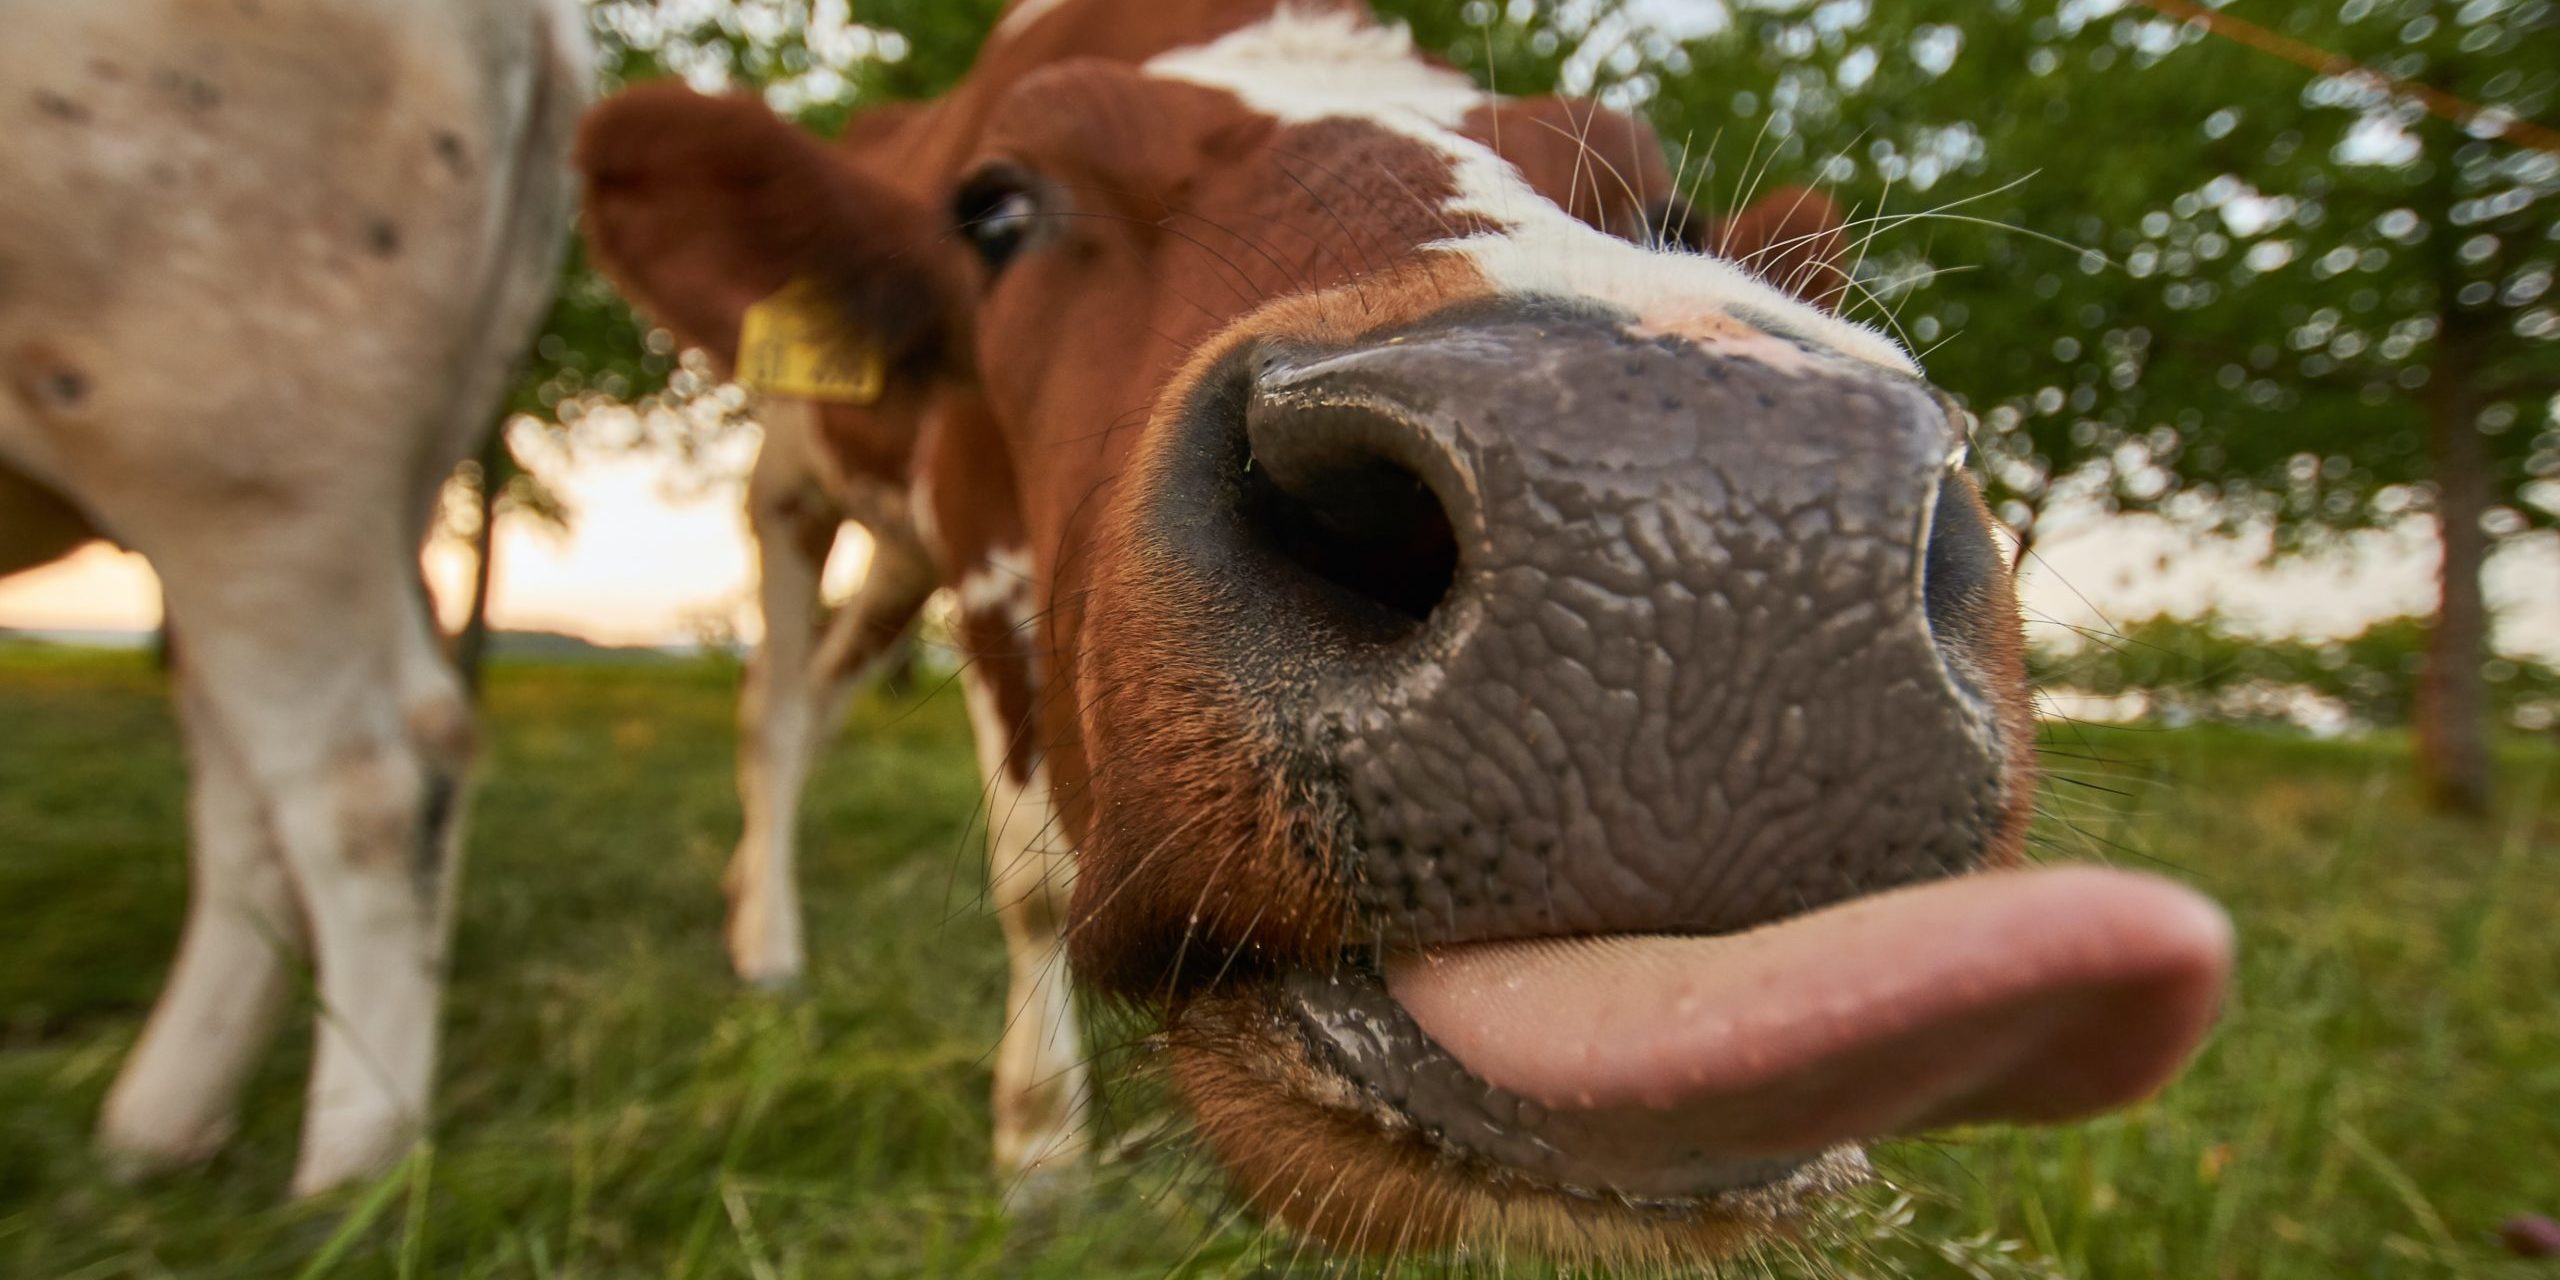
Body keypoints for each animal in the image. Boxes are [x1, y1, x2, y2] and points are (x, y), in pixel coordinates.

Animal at [0, 0, 589, 1196]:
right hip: (368, 471)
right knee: (252, 804)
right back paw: (154, 1137)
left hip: (238, 425)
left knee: (365, 779)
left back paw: (351, 1175)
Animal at [576, 0, 2234, 1264]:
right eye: (995, 209)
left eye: (1669, 214)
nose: (1694, 518)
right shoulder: (979, 532)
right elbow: (1037, 882)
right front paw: (1037, 1158)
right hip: (797, 486)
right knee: (779, 703)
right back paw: (768, 948)